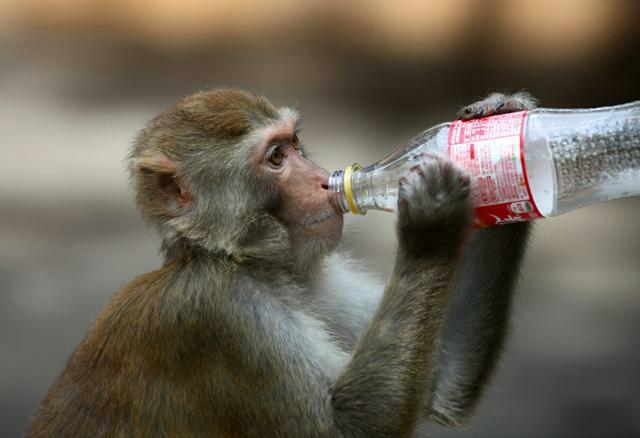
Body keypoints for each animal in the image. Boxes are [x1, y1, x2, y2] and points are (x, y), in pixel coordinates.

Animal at [25, 89, 536, 438]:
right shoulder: (221, 317)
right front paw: (433, 218)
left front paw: (507, 131)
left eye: (293, 144)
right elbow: (349, 429)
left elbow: (441, 376)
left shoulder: (316, 277)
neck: (243, 261)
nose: (323, 180)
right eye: (275, 157)